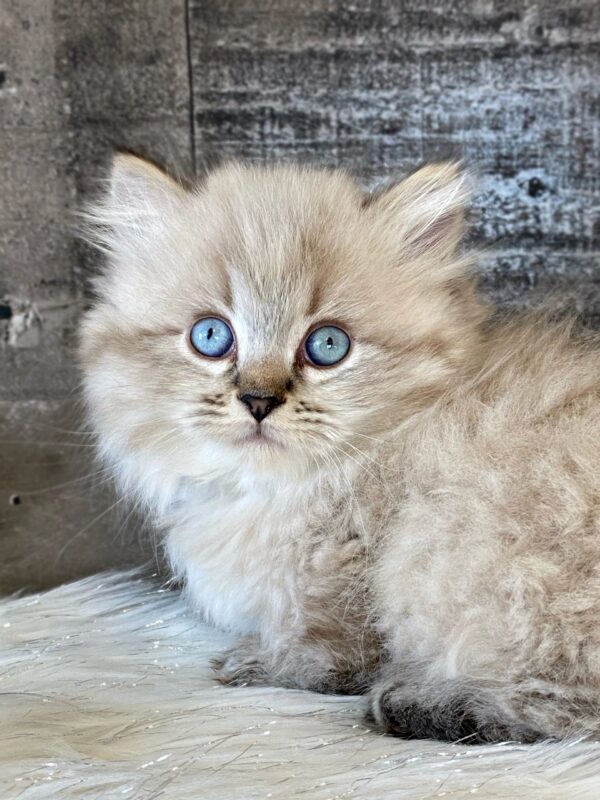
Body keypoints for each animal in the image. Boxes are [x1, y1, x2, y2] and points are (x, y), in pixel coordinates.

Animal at [81, 155, 600, 744]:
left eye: (328, 345)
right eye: (211, 337)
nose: (259, 400)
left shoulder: (360, 573)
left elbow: (333, 651)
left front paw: (261, 661)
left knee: (563, 714)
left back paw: (424, 704)